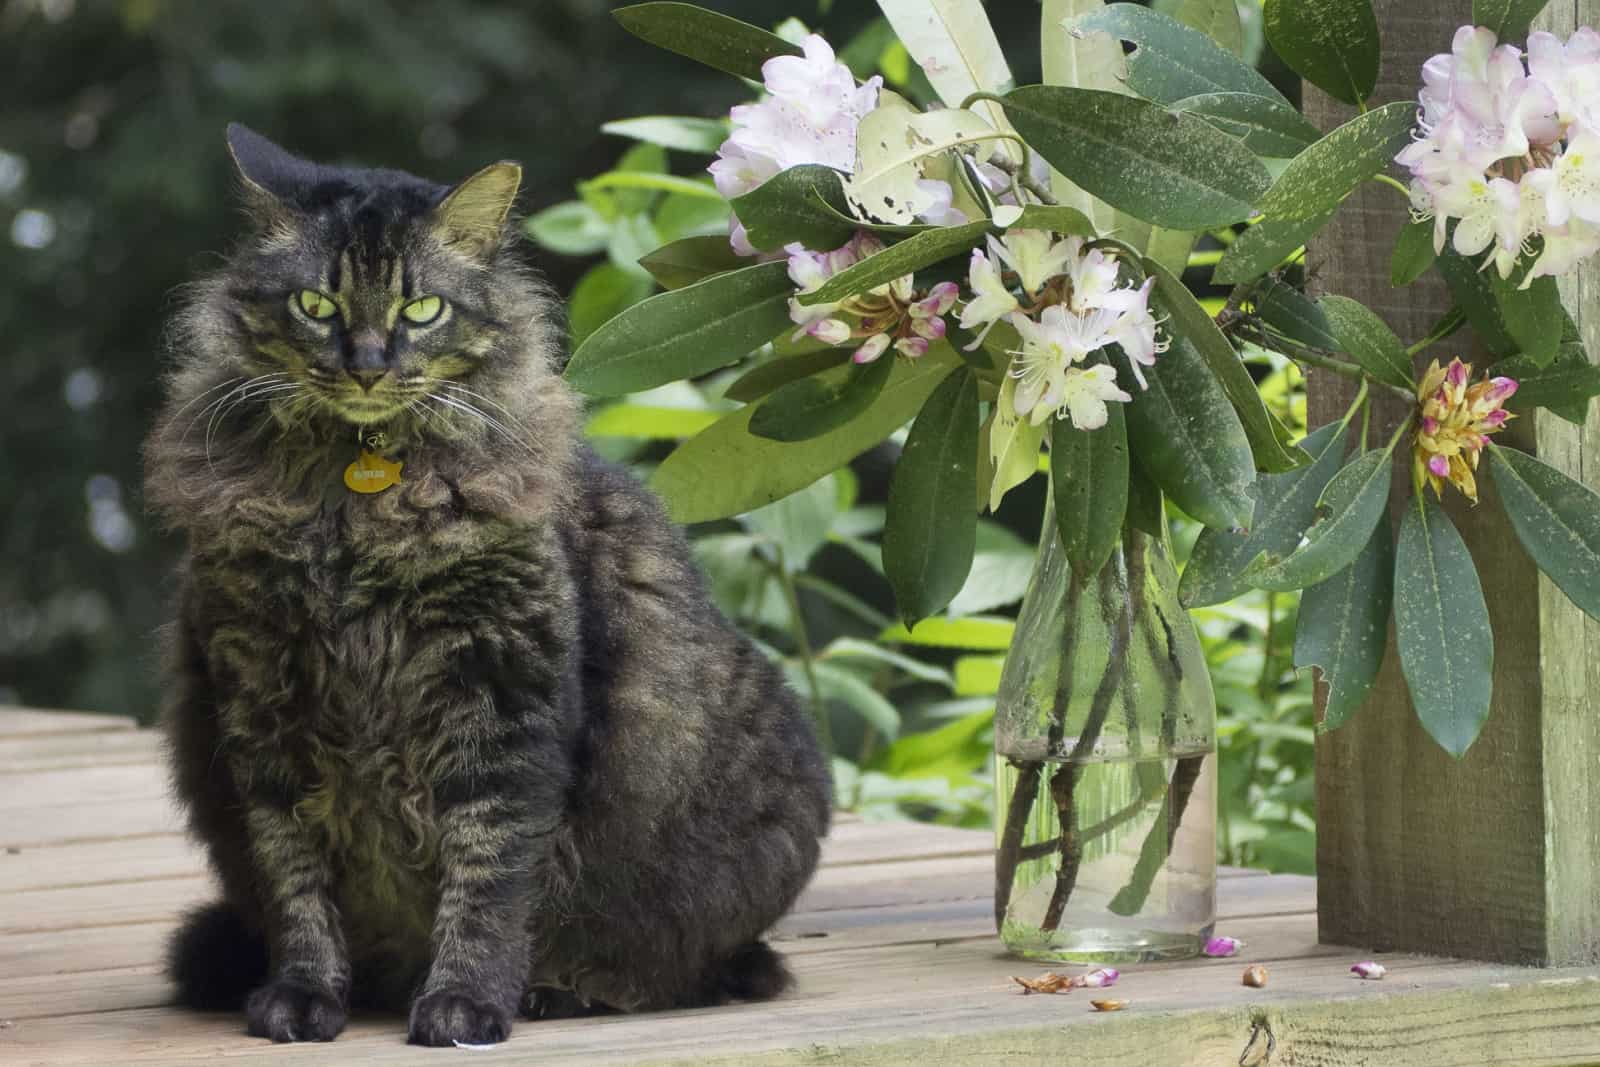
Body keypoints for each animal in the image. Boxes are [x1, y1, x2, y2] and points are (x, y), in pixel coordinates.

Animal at [142, 127, 832, 1049]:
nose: (367, 366)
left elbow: (489, 875)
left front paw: (465, 1004)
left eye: (420, 310)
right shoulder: (262, 703)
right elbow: (296, 882)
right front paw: (302, 994)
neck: (356, 507)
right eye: (317, 306)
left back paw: (557, 991)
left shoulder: (504, 698)